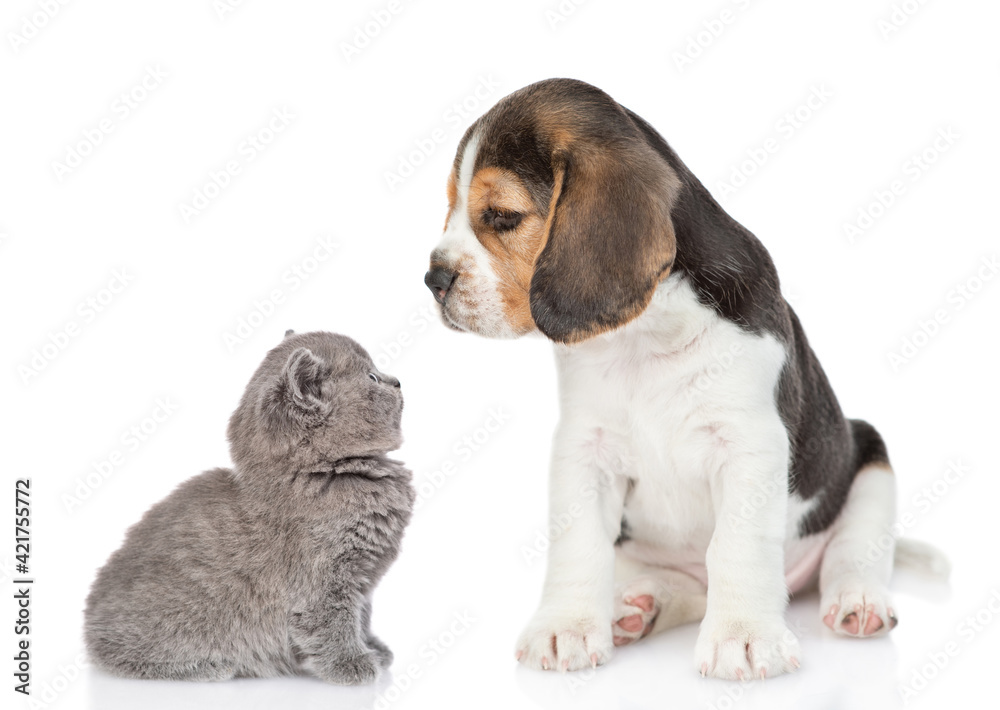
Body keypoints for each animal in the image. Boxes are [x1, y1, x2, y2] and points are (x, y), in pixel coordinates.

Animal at [83, 330, 414, 688]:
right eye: (371, 377)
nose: (397, 381)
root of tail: (90, 626)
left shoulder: (363, 580)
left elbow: (362, 616)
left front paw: (373, 648)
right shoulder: (322, 581)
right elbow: (331, 622)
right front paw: (352, 663)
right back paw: (209, 666)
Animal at [424, 80, 936, 680]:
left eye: (503, 215)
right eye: (451, 208)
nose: (433, 278)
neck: (644, 336)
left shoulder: (750, 444)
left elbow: (736, 545)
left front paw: (743, 637)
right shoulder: (583, 450)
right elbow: (579, 543)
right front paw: (565, 628)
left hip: (867, 462)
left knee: (852, 553)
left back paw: (857, 601)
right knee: (686, 586)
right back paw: (639, 607)